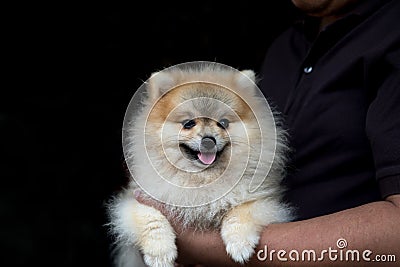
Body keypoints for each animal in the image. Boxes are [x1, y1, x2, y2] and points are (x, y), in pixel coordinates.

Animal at [108, 62, 292, 267]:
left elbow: (241, 212)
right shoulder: (136, 198)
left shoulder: (264, 200)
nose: (208, 140)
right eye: (188, 123)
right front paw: (160, 252)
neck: (201, 177)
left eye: (223, 123)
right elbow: (150, 217)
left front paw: (240, 243)